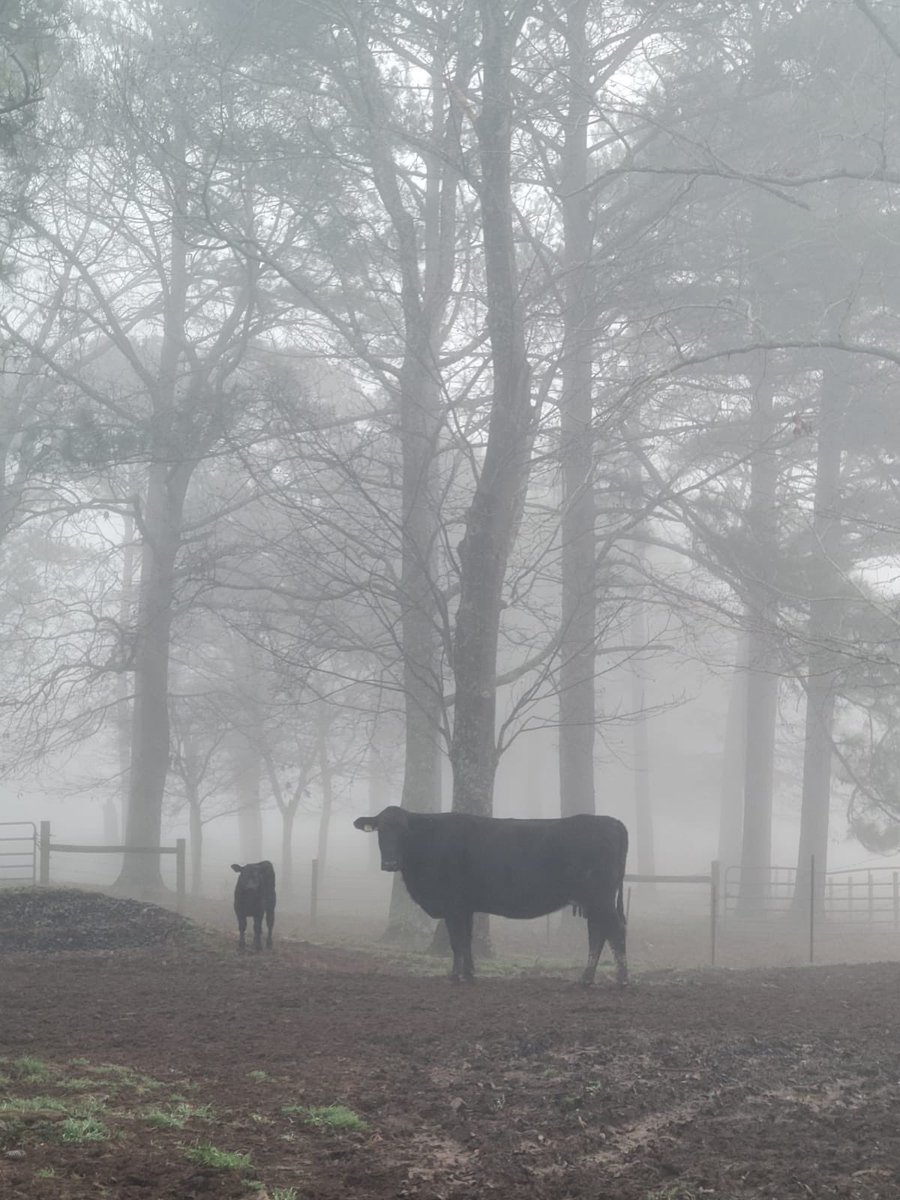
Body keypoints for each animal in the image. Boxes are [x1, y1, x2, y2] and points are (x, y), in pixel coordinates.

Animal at [354, 806, 628, 986]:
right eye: (380, 831)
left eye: (404, 831)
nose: (390, 863)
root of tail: (611, 821)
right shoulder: (465, 906)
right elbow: (466, 939)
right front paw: (469, 973)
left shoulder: (453, 904)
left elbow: (457, 940)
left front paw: (456, 976)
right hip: (594, 901)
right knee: (599, 933)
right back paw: (587, 978)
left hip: (600, 898)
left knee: (614, 931)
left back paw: (621, 979)